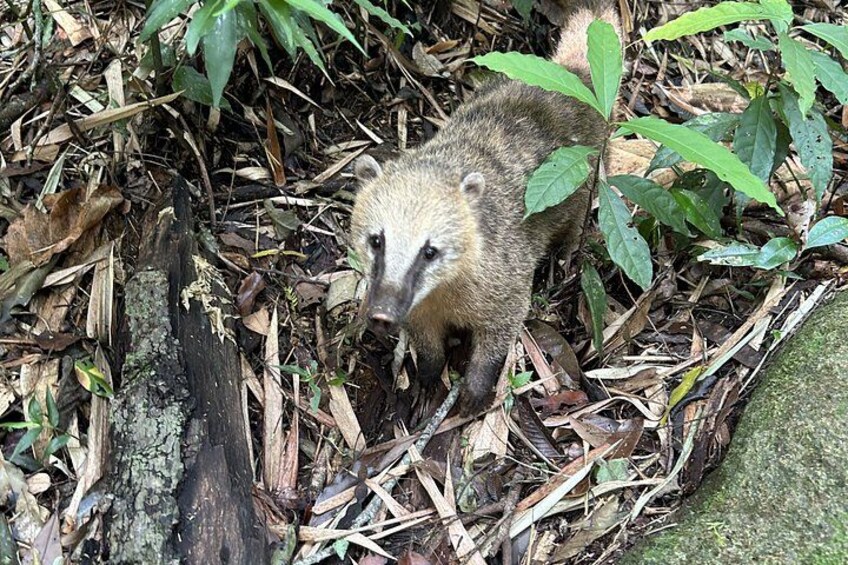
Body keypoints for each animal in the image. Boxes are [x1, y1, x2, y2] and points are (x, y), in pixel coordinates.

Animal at [350, 1, 621, 416]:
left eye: (430, 251)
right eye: (376, 241)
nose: (380, 315)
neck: (443, 291)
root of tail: (573, 75)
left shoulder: (505, 277)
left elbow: (501, 331)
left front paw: (475, 388)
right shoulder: (418, 308)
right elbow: (426, 342)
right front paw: (428, 377)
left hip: (589, 169)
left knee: (577, 216)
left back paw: (566, 253)